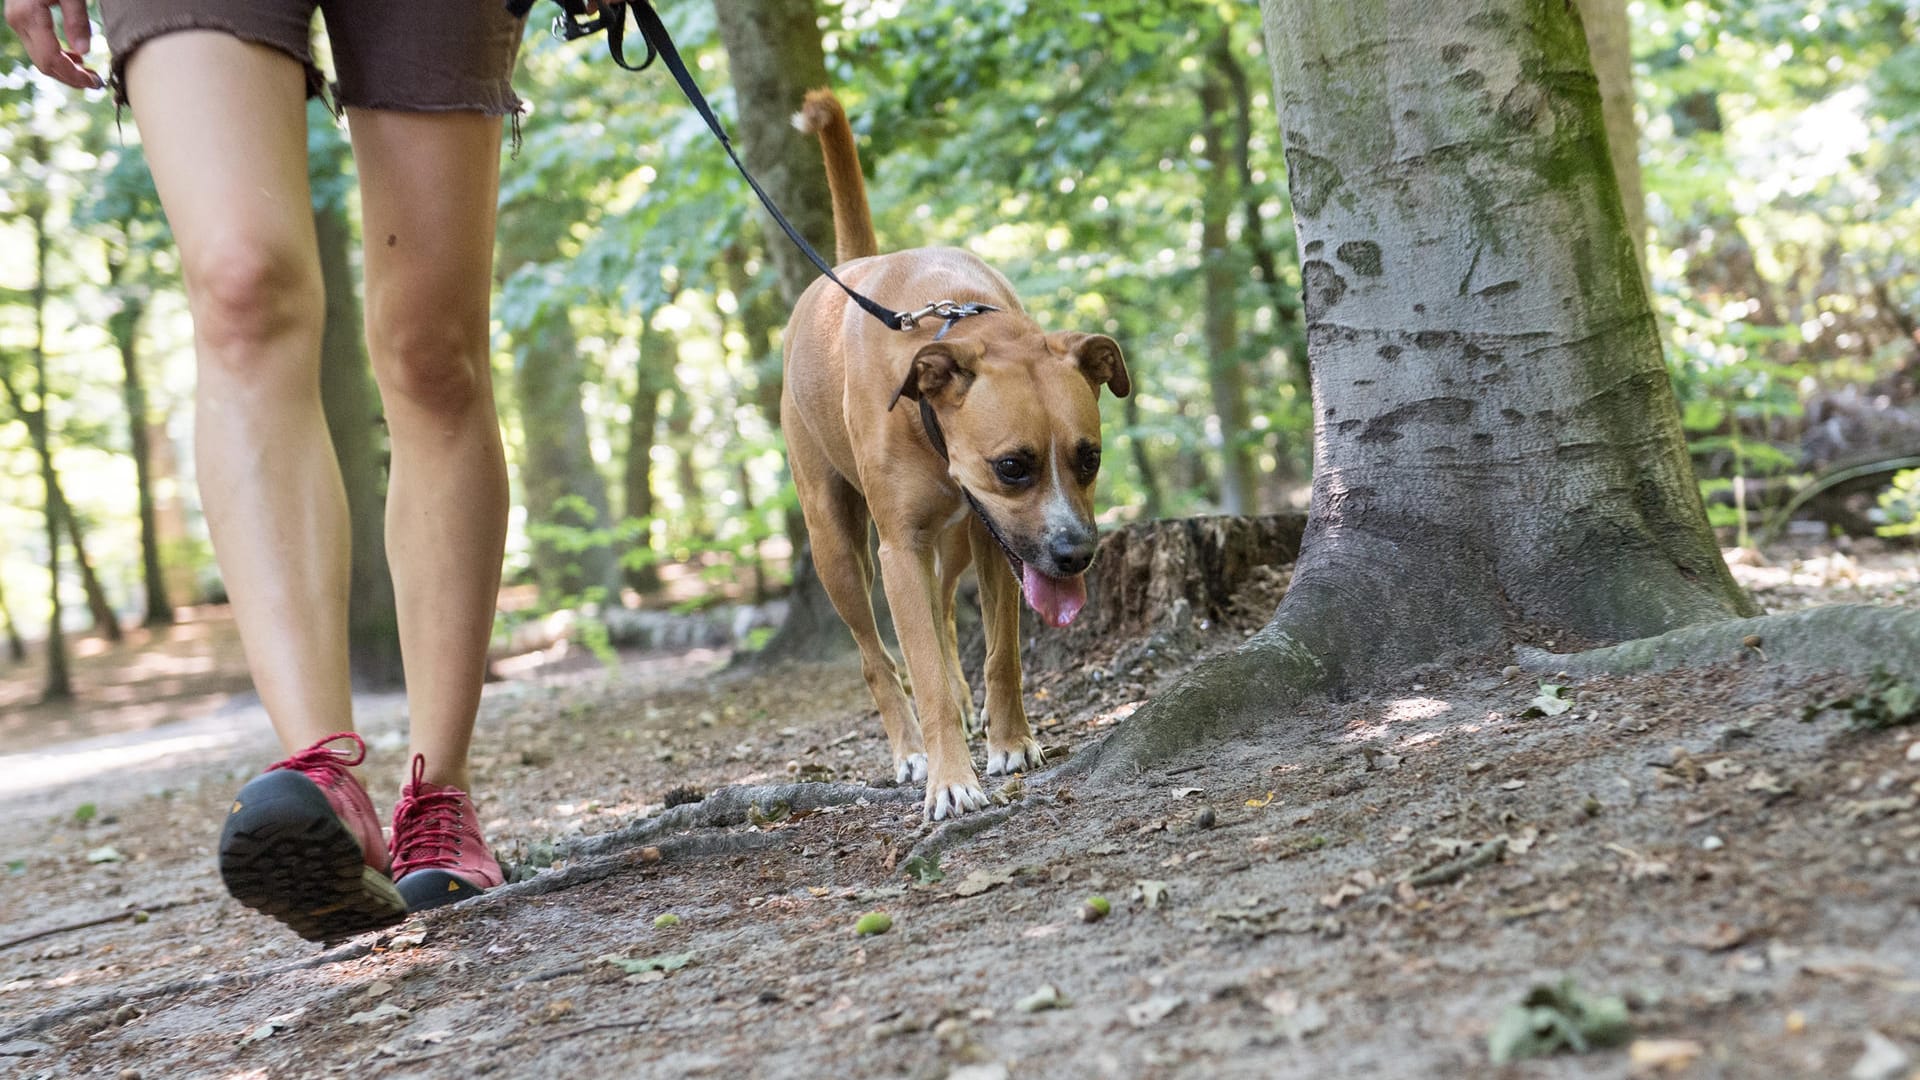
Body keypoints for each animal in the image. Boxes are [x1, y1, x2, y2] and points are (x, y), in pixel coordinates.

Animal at [779, 90, 1128, 814]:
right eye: (1013, 466)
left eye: (1089, 458)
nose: (1076, 554)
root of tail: (842, 270)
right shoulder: (902, 547)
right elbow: (925, 675)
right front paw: (950, 779)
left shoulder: (996, 541)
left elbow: (1001, 653)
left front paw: (1010, 741)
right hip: (836, 546)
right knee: (878, 657)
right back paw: (911, 751)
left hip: (960, 542)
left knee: (941, 614)